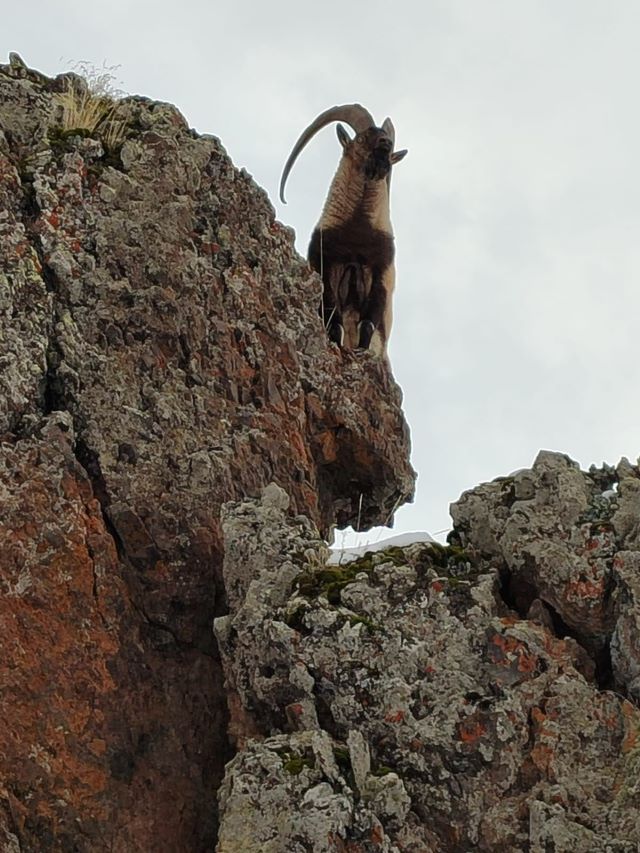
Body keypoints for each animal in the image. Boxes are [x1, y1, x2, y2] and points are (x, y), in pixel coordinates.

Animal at [278, 105, 404, 352]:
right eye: (362, 137)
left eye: (390, 148)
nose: (385, 144)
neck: (357, 231)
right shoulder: (325, 264)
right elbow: (333, 319)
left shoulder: (382, 273)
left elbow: (368, 323)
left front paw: (361, 350)